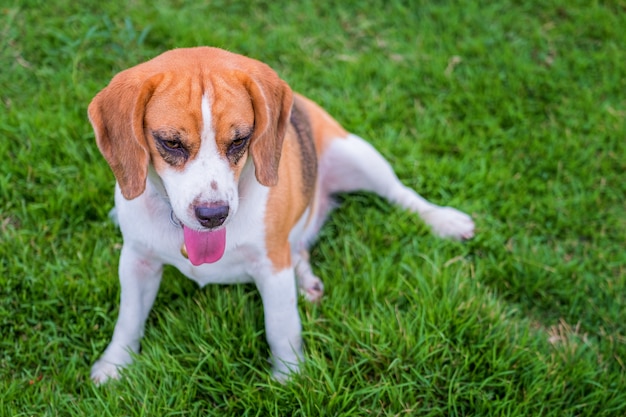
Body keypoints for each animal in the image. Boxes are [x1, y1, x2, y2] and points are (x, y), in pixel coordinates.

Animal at [85, 46, 470, 384]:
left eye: (240, 140)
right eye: (171, 143)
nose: (214, 215)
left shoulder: (272, 265)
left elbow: (281, 326)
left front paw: (289, 377)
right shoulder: (137, 260)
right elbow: (128, 319)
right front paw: (115, 365)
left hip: (357, 155)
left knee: (401, 195)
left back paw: (445, 221)